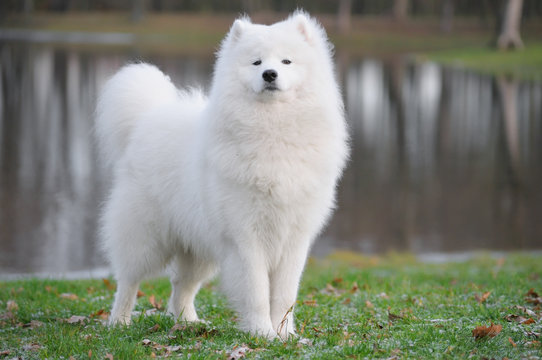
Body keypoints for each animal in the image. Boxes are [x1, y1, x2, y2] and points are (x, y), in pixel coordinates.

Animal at [96, 9, 350, 338]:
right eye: (256, 62)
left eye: (286, 61)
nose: (270, 74)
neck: (274, 130)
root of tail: (148, 118)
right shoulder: (246, 237)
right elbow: (257, 291)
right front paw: (263, 333)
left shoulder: (294, 238)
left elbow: (284, 295)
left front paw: (284, 335)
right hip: (146, 237)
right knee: (129, 281)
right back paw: (119, 321)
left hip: (198, 246)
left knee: (181, 286)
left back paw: (188, 322)